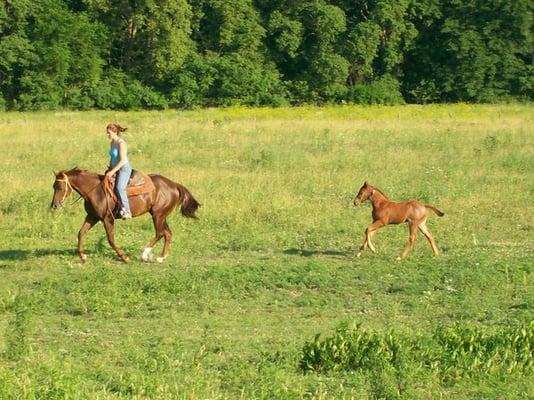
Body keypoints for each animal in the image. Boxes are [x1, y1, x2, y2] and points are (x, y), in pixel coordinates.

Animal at [51, 168, 201, 262]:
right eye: (54, 186)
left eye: (59, 187)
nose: (54, 205)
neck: (95, 191)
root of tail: (174, 185)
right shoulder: (92, 217)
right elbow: (81, 233)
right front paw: (82, 256)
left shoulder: (107, 219)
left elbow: (111, 240)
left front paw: (124, 257)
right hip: (161, 216)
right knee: (167, 233)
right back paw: (161, 257)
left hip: (158, 215)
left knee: (160, 233)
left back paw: (145, 254)